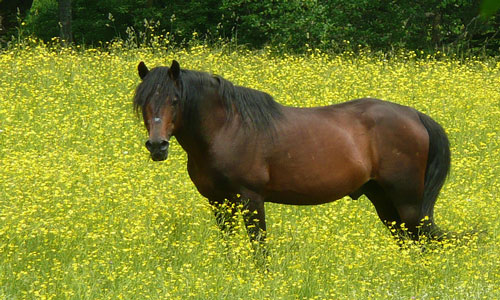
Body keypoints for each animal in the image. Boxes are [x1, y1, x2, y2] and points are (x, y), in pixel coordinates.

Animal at [132, 59, 450, 245]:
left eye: (175, 100)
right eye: (143, 102)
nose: (157, 146)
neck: (227, 128)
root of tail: (415, 115)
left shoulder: (250, 198)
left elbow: (259, 246)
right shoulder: (218, 202)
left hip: (407, 202)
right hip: (383, 200)